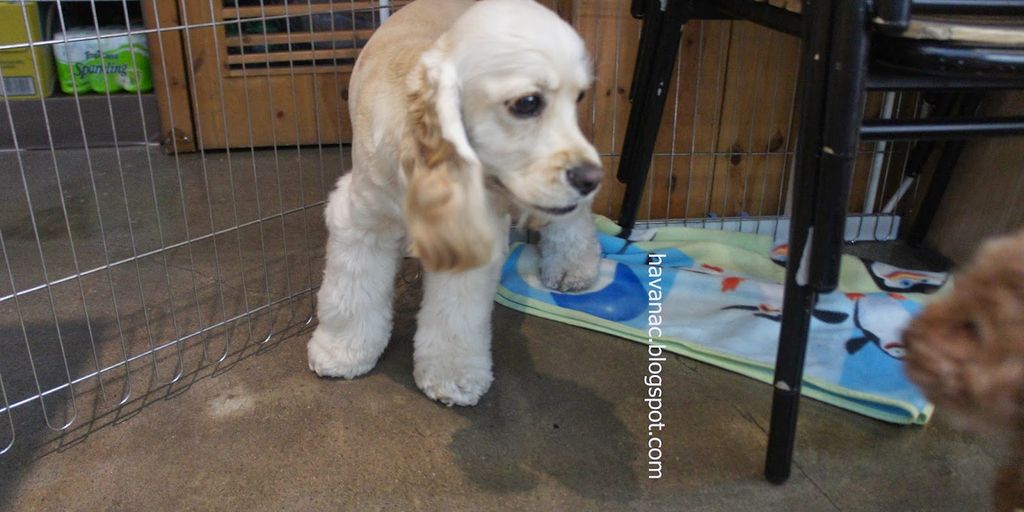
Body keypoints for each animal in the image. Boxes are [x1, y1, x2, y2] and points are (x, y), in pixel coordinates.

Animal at [307, 0, 602, 407]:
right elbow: (348, 292)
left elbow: (456, 317)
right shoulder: (362, 219)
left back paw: (574, 269)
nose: (592, 178)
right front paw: (342, 351)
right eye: (527, 103)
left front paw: (452, 376)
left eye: (578, 97)